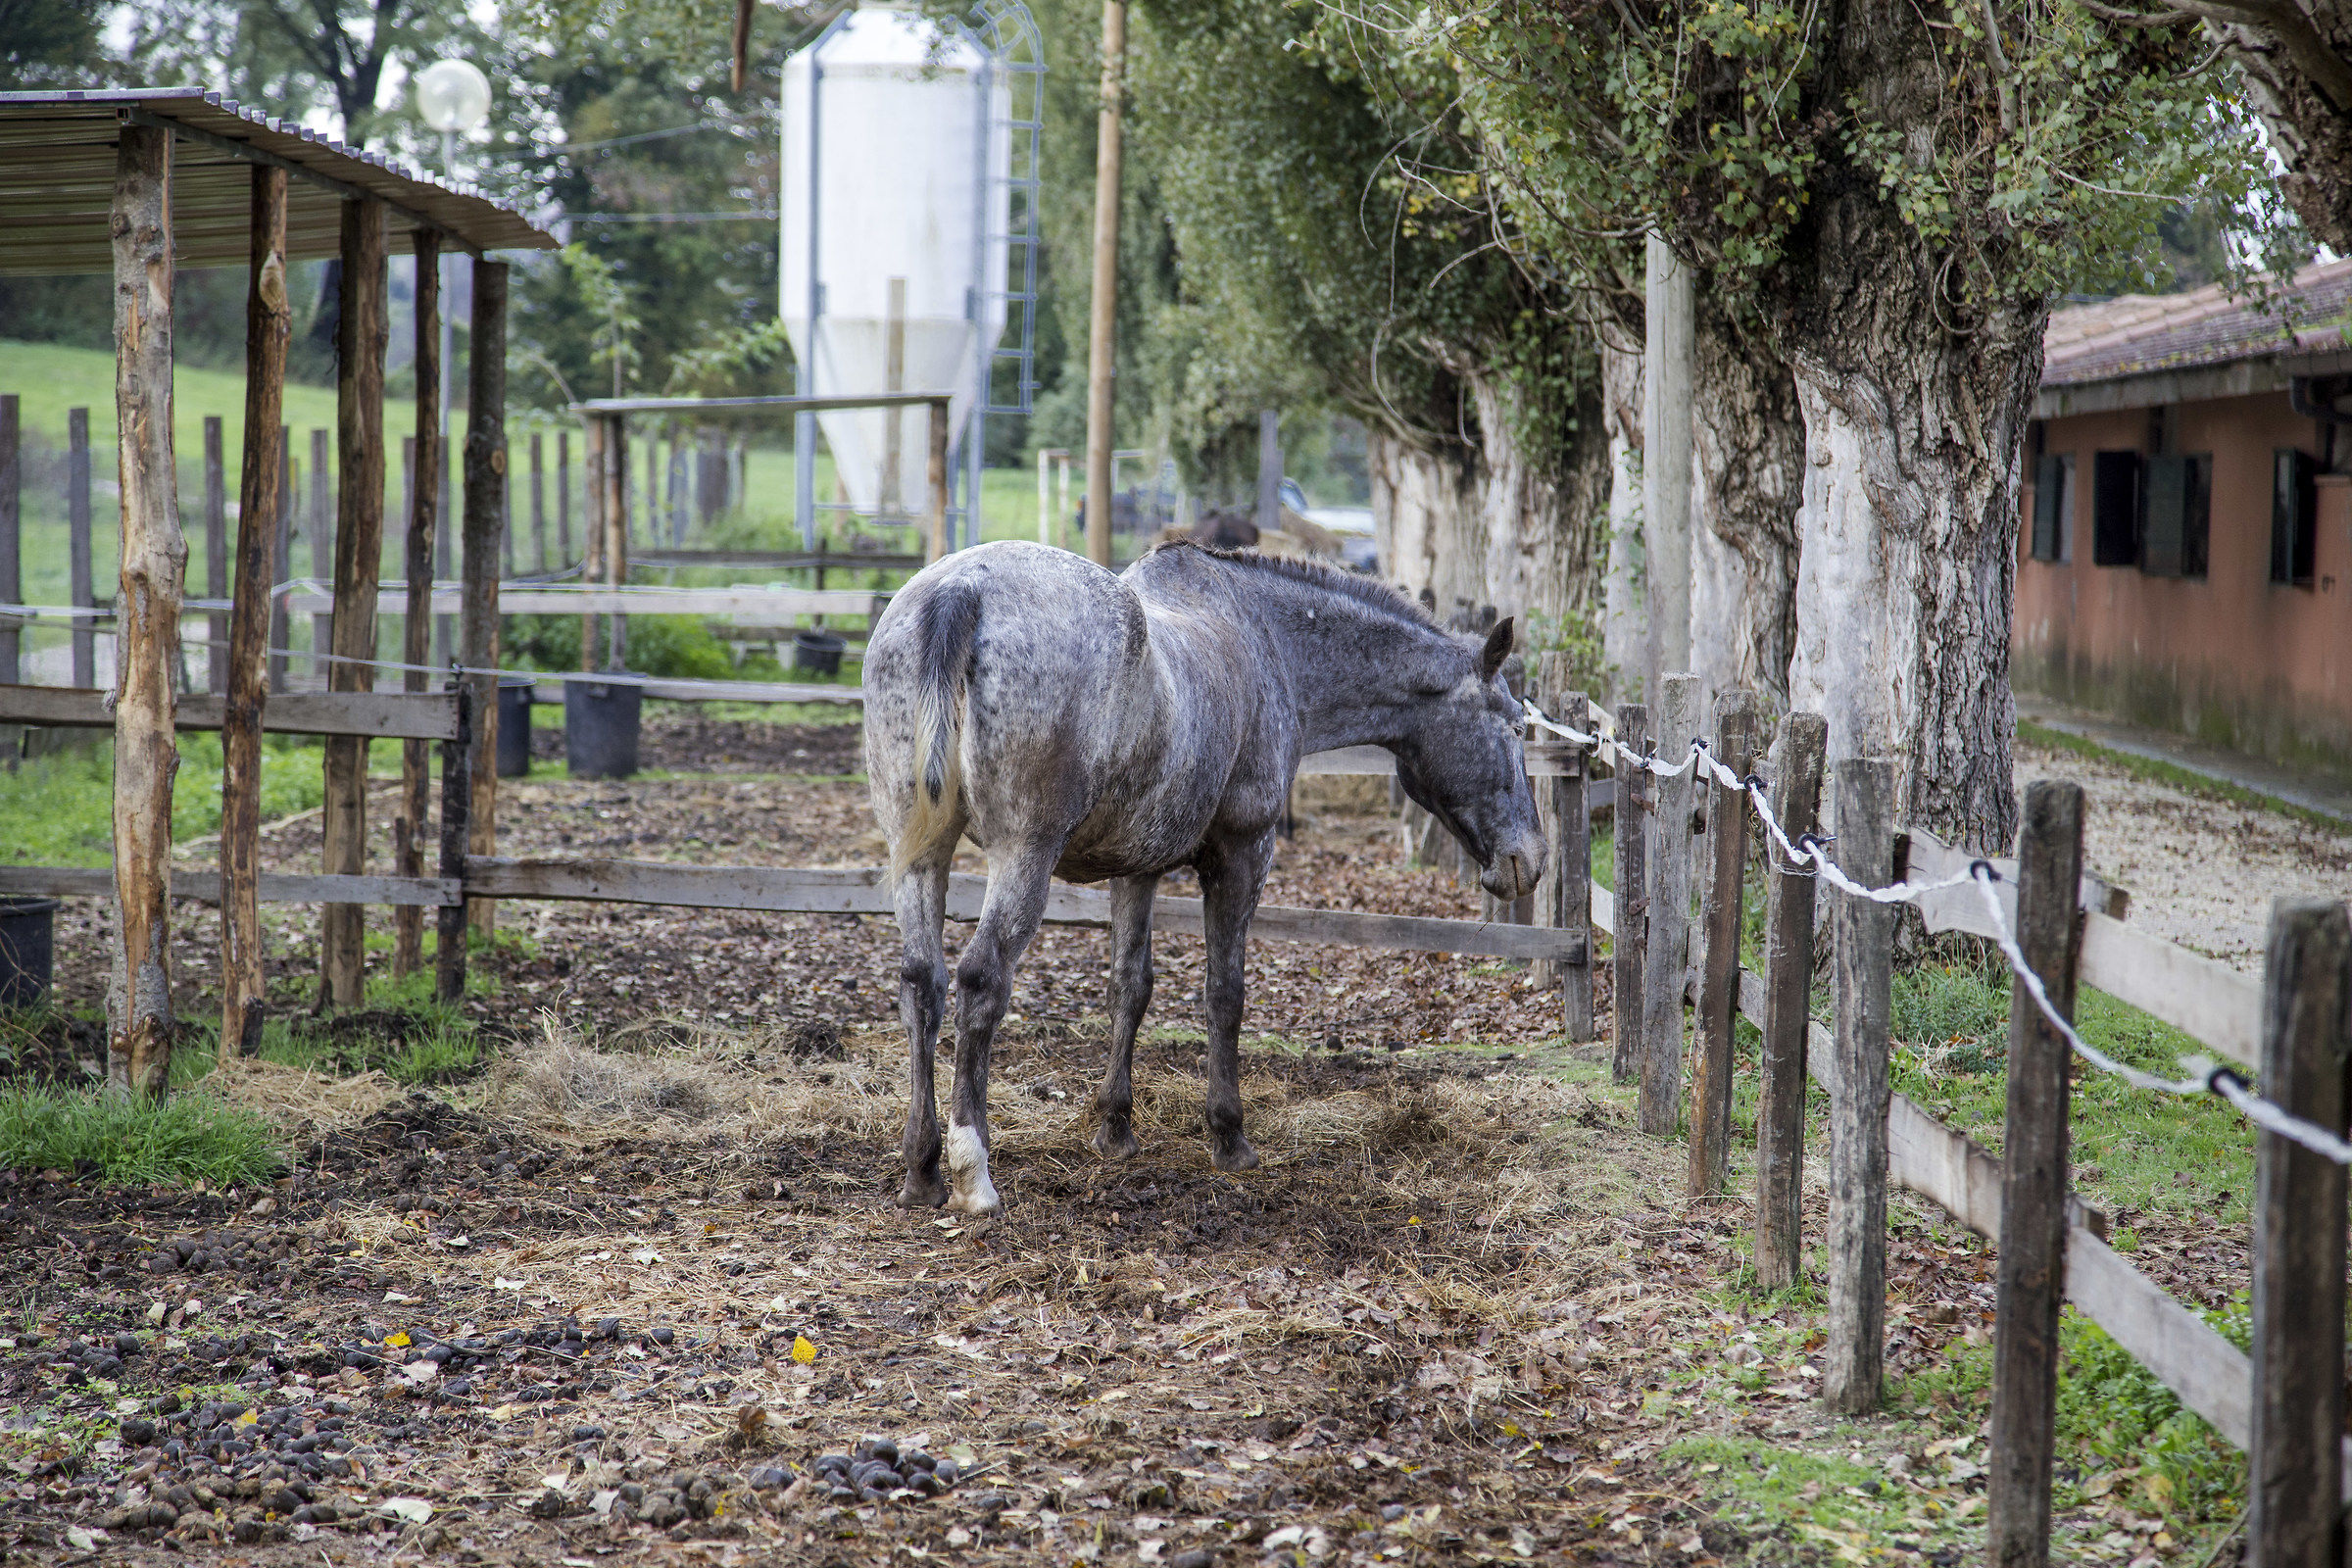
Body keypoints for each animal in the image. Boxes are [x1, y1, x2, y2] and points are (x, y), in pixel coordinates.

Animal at [861, 539, 1545, 1214]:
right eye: (1515, 726)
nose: (1529, 860)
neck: (1264, 639)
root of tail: (962, 591)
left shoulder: (1136, 871)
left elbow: (1130, 986)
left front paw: (1116, 1129)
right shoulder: (1243, 854)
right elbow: (1225, 993)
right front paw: (1229, 1135)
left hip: (921, 856)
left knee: (923, 983)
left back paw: (922, 1169)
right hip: (1022, 857)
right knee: (980, 981)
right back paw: (972, 1174)